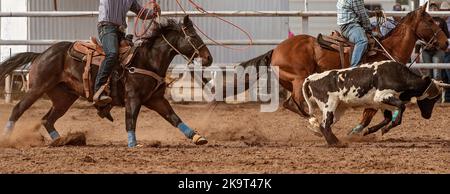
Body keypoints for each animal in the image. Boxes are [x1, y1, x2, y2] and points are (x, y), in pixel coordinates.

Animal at [0, 16, 213, 147]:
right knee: (17, 110)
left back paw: (63, 141)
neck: (147, 59)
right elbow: (130, 120)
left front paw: (197, 137)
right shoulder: (133, 98)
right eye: (193, 36)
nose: (208, 58)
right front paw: (133, 143)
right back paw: (7, 137)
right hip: (37, 88)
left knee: (47, 119)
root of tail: (41, 54)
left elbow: (174, 118)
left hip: (64, 98)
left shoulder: (156, 99)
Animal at [236, 3, 446, 136]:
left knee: (292, 104)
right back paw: (315, 124)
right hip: (298, 80)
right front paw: (357, 131)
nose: (446, 42)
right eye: (430, 21)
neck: (388, 49)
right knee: (295, 103)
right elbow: (369, 115)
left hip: (290, 82)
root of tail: (276, 49)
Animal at [302, 60, 450, 147]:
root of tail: (312, 77)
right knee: (325, 125)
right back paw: (336, 143)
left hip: (339, 109)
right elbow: (401, 107)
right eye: (432, 99)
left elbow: (388, 118)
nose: (427, 116)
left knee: (323, 125)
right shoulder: (382, 96)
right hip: (329, 105)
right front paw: (385, 129)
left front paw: (369, 130)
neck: (398, 75)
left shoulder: (382, 103)